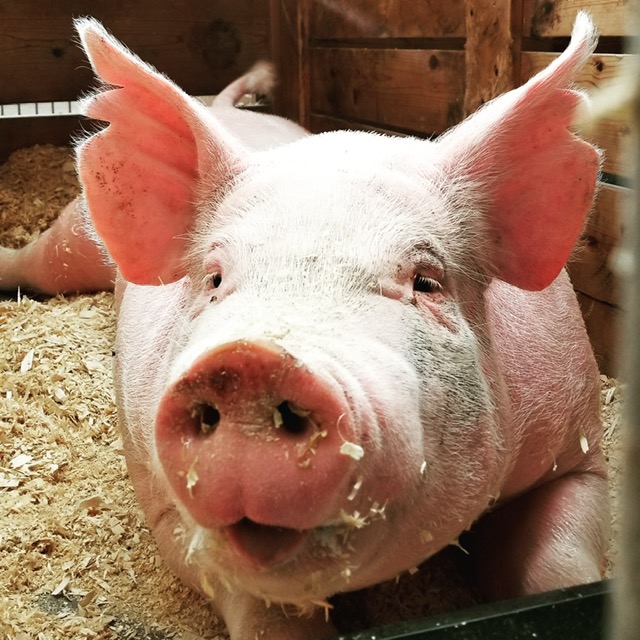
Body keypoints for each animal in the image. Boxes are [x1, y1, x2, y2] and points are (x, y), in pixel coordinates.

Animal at [0, 13, 609, 640]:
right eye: (214, 278)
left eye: (426, 281)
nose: (250, 363)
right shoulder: (166, 507)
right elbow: (260, 608)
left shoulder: (580, 452)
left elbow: (563, 568)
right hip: (74, 234)